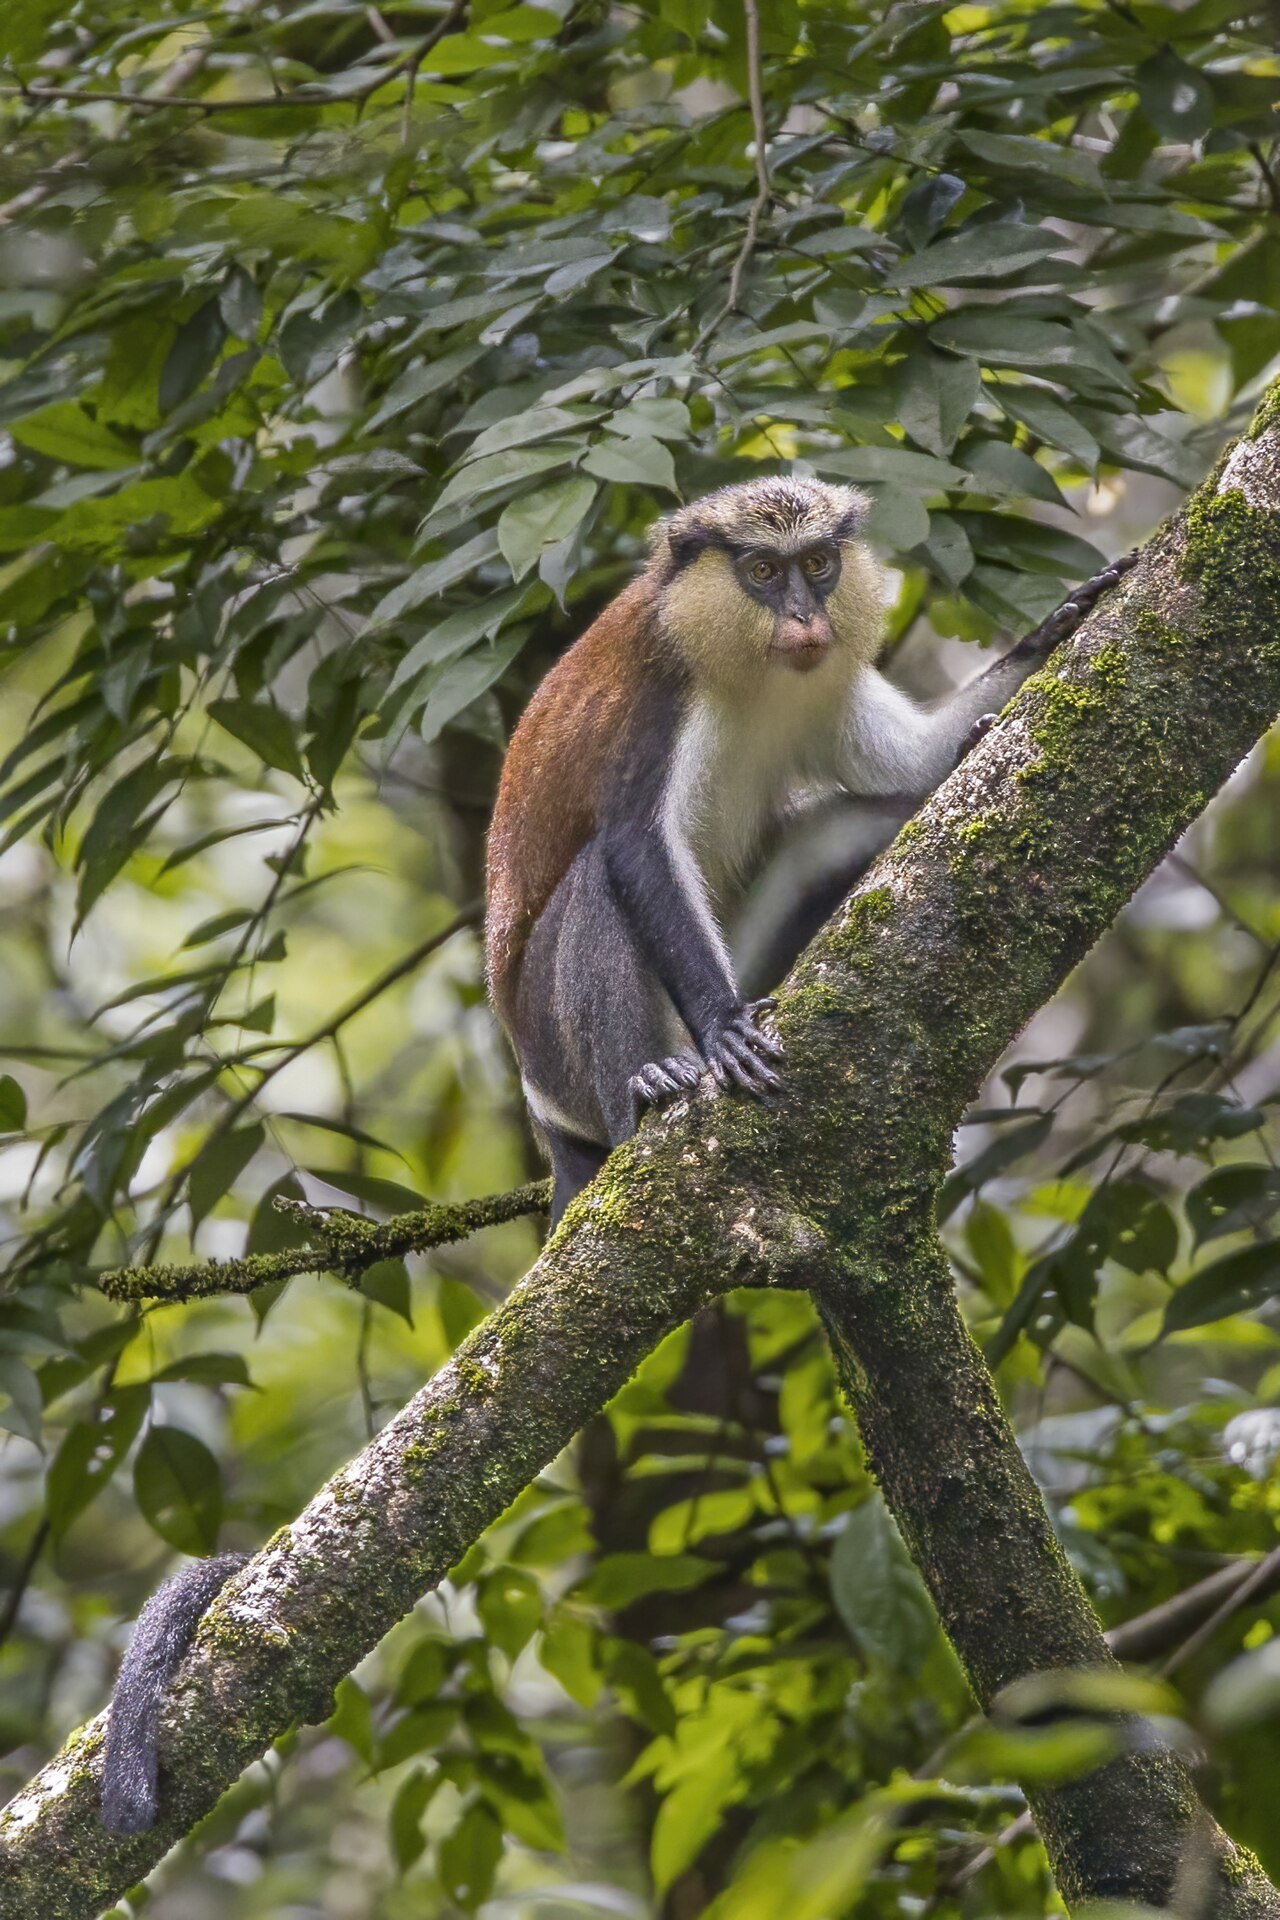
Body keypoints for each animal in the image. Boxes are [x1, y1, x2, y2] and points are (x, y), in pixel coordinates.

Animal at [97, 476, 1134, 1836]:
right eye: (756, 571)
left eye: (816, 563)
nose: (804, 618)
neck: (755, 673)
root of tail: (550, 1124)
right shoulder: (659, 696)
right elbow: (637, 851)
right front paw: (727, 1031)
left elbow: (910, 768)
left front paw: (1065, 619)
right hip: (552, 1036)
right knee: (597, 881)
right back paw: (653, 1085)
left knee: (860, 818)